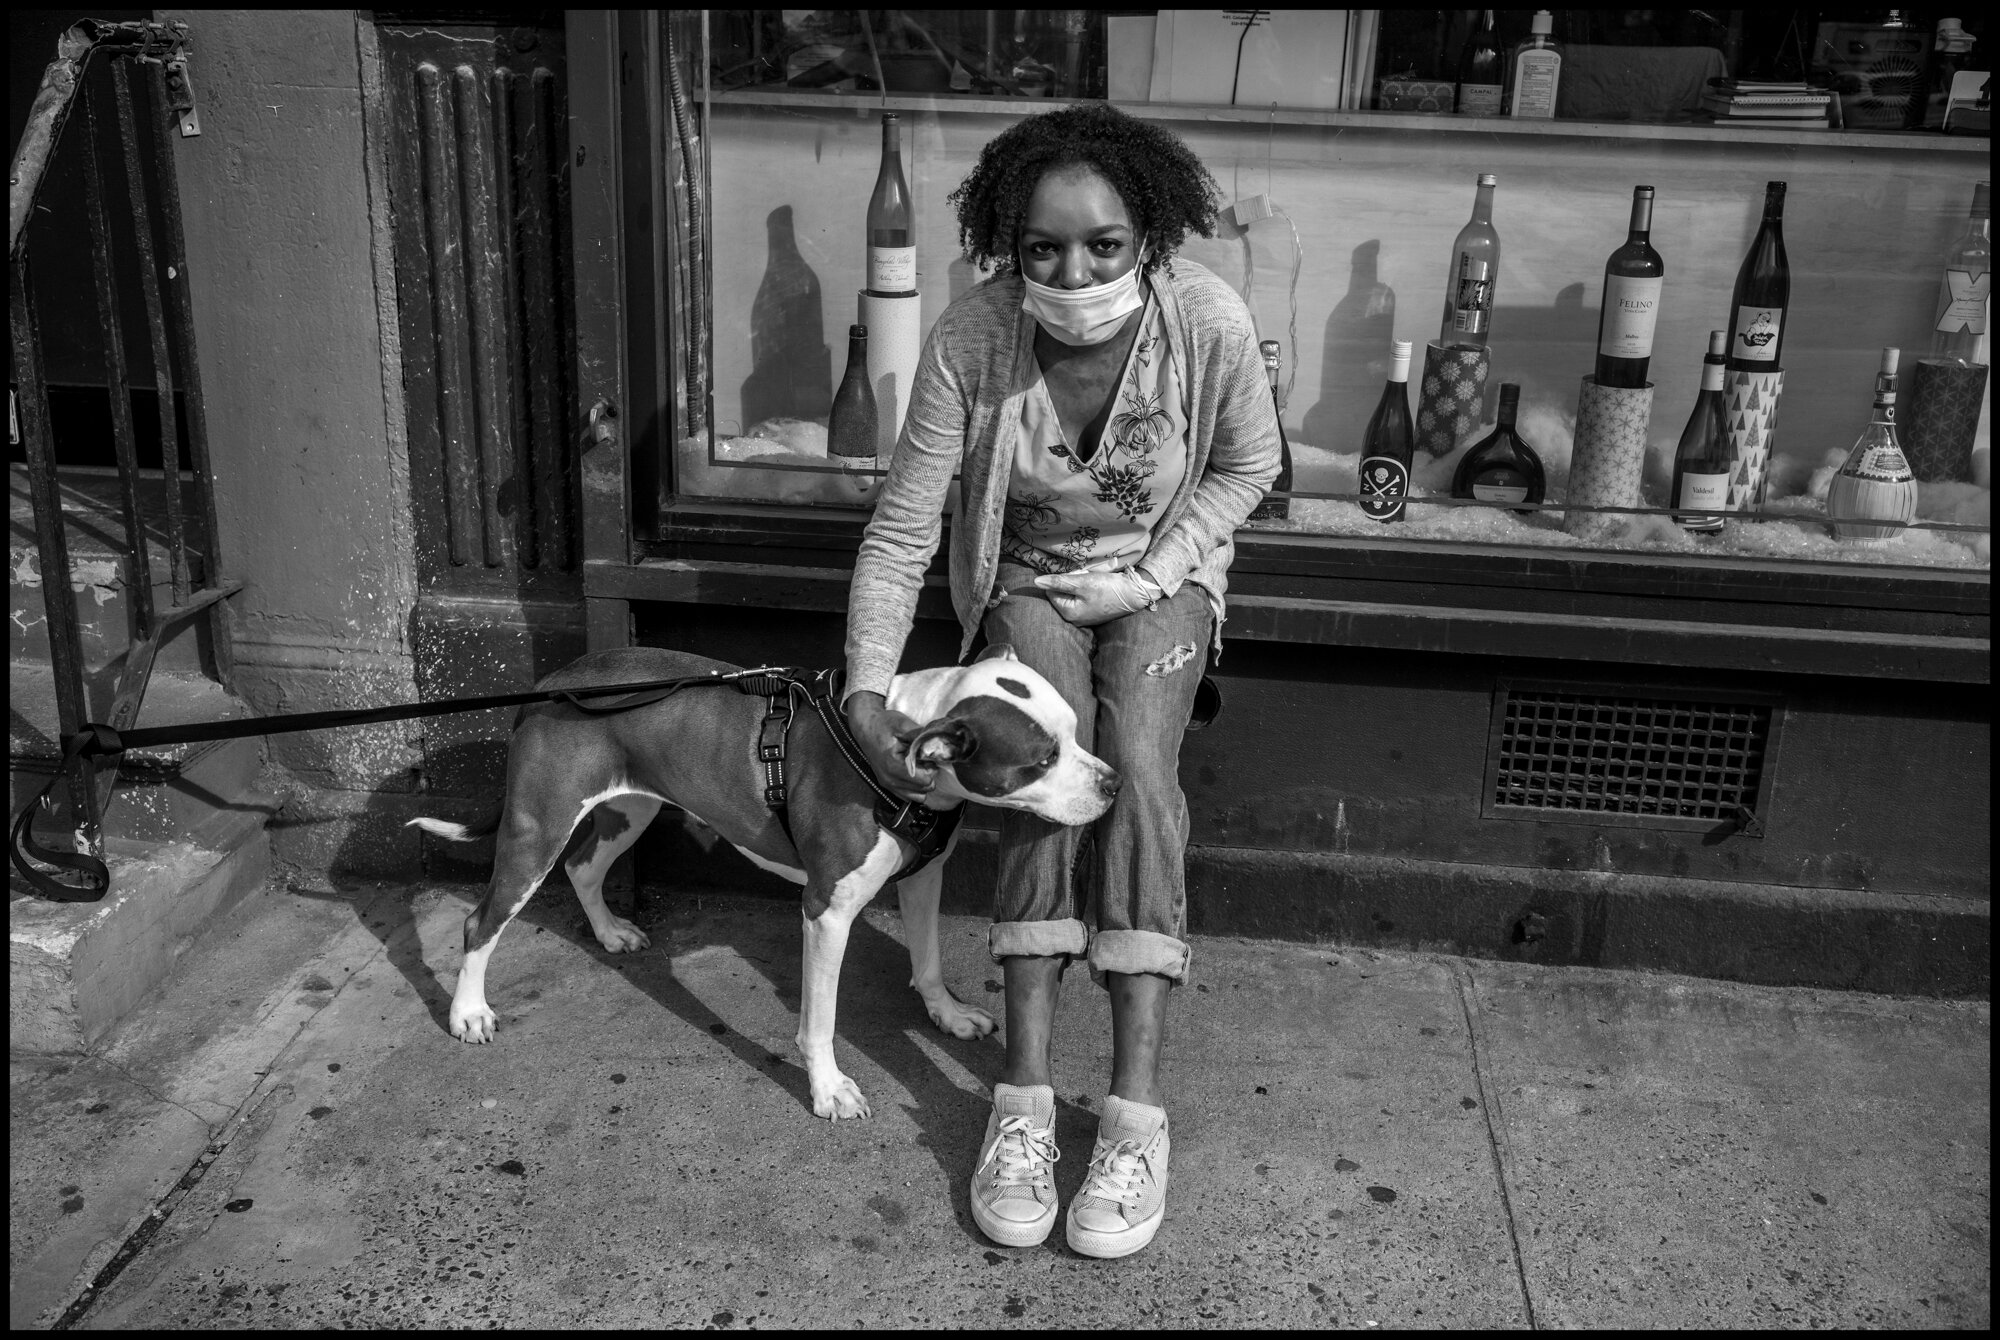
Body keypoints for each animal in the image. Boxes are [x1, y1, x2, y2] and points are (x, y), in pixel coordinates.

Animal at [410, 648, 1128, 1120]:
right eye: (1042, 760)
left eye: (1076, 732)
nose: (1114, 783)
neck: (903, 756)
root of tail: (552, 681)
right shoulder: (827, 910)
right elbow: (821, 1020)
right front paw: (828, 1089)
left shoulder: (925, 877)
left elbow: (926, 960)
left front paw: (946, 1014)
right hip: (536, 829)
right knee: (482, 921)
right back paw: (468, 1012)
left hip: (631, 806)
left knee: (585, 866)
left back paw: (611, 933)